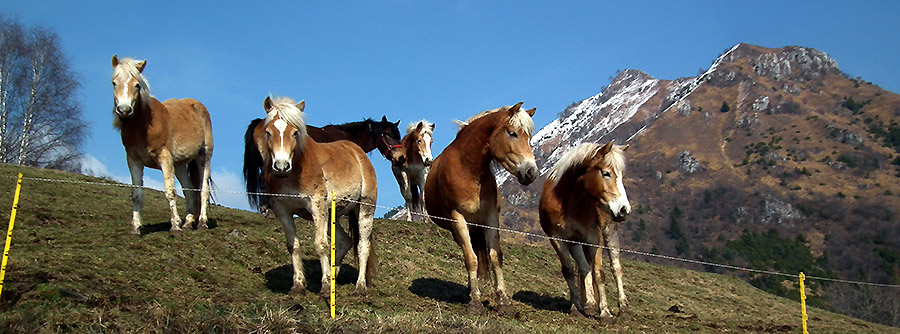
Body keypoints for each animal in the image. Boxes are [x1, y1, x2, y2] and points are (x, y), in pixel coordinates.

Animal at [109, 55, 213, 237]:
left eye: (137, 84)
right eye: (114, 83)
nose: (124, 110)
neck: (143, 127)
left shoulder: (165, 158)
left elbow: (170, 192)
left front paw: (175, 227)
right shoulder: (133, 161)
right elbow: (136, 194)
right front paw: (135, 228)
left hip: (204, 157)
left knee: (203, 189)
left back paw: (201, 223)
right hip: (179, 165)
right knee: (189, 191)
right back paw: (188, 223)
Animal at [243, 95, 376, 296]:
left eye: (295, 132)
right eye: (268, 132)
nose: (281, 166)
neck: (293, 173)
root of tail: (357, 151)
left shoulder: (317, 206)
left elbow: (321, 245)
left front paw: (325, 285)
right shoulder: (282, 210)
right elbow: (293, 245)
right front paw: (298, 285)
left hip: (364, 209)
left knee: (362, 246)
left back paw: (360, 286)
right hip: (333, 214)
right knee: (344, 241)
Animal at [422, 102, 536, 316]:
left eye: (529, 136)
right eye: (512, 133)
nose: (531, 172)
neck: (468, 170)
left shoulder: (491, 218)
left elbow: (495, 257)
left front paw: (504, 302)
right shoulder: (458, 219)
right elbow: (471, 259)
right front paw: (475, 302)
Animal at [536, 141, 628, 320]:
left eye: (621, 175)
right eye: (606, 173)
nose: (624, 209)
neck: (567, 201)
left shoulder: (594, 238)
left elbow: (599, 273)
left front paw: (605, 313)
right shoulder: (557, 238)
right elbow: (570, 271)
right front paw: (576, 307)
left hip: (609, 232)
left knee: (616, 267)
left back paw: (622, 306)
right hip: (575, 243)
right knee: (585, 267)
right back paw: (590, 304)